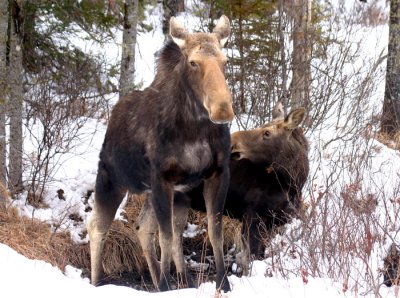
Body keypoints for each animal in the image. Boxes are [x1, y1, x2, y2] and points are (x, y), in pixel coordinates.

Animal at [86, 15, 233, 292]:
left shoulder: (216, 174)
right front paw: (166, 285)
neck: (194, 131)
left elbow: (213, 232)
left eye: (225, 61)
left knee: (144, 228)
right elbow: (165, 237)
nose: (222, 109)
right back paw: (98, 282)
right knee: (97, 227)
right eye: (193, 62)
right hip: (111, 179)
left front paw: (223, 284)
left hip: (168, 192)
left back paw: (174, 281)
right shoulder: (162, 178)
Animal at [137, 103, 310, 282]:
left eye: (267, 133)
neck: (292, 182)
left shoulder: (273, 221)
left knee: (156, 231)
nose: (233, 141)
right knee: (153, 231)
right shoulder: (252, 215)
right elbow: (251, 257)